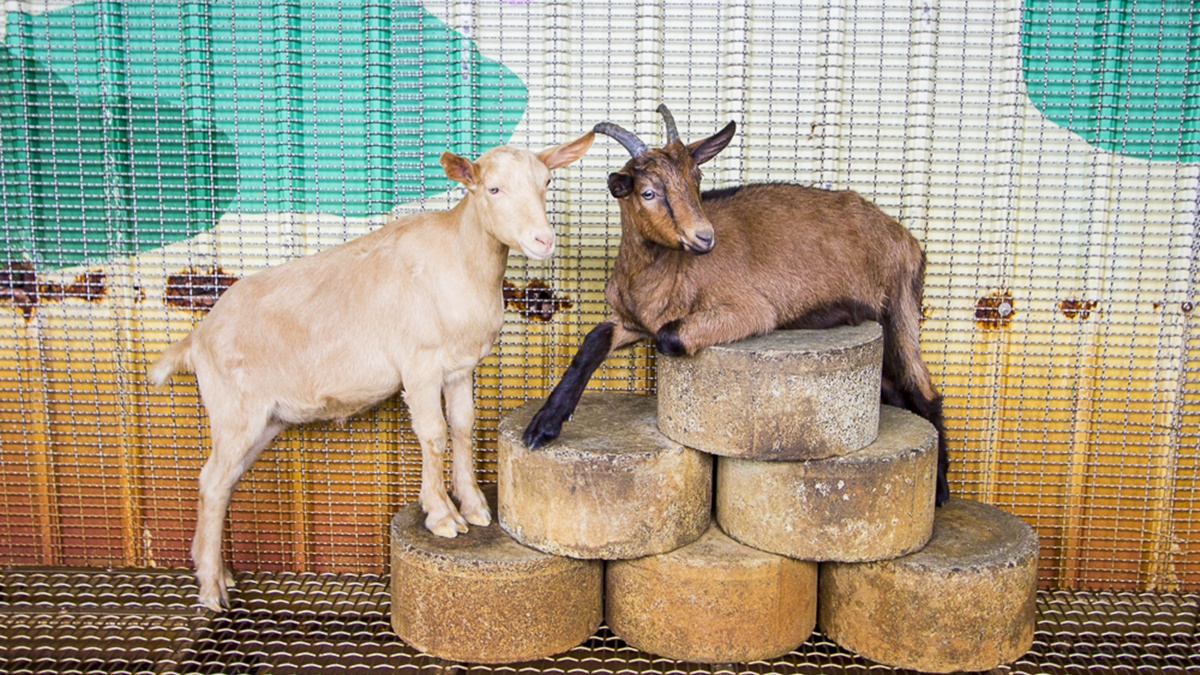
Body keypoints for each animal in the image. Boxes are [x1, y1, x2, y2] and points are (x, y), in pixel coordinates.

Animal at [148, 132, 595, 610]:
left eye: (547, 182)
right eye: (493, 189)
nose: (543, 240)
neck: (460, 259)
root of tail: (197, 340)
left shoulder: (459, 368)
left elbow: (462, 426)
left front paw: (473, 505)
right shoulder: (419, 365)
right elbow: (433, 434)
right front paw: (442, 514)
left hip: (265, 420)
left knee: (220, 480)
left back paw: (216, 572)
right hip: (235, 411)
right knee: (213, 482)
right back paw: (211, 588)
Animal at [523, 105, 945, 502]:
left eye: (696, 181)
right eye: (648, 192)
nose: (704, 237)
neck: (663, 275)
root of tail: (904, 237)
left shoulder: (750, 310)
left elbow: (668, 337)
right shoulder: (631, 321)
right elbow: (593, 341)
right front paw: (542, 426)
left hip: (901, 306)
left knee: (923, 391)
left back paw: (939, 491)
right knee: (896, 387)